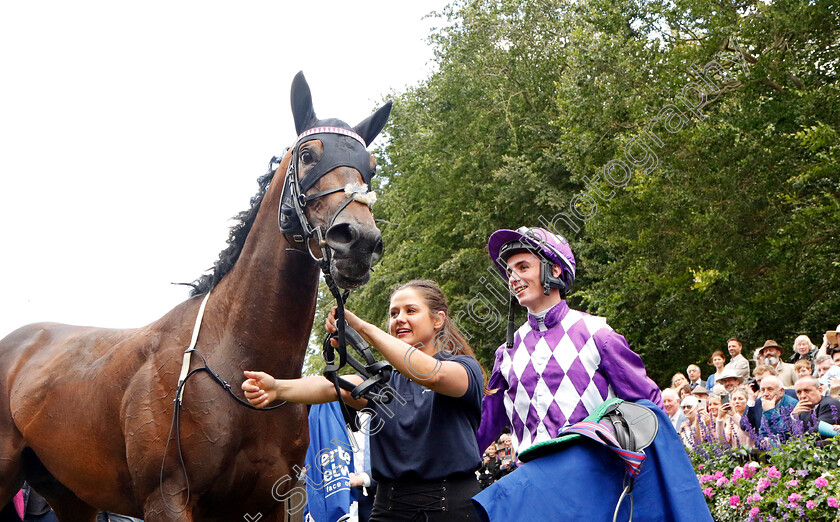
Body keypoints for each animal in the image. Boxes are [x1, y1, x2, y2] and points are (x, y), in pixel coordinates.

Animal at [0, 70, 390, 520]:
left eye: (371, 168)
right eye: (309, 154)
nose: (359, 240)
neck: (234, 361)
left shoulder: (270, 500)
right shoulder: (166, 498)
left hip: (69, 493)